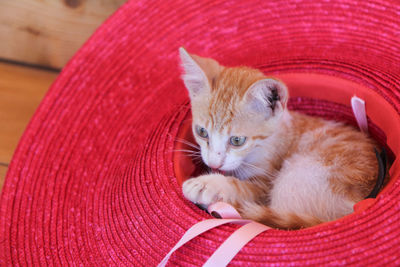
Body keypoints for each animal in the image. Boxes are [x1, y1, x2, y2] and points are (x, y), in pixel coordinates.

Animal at [180, 47, 380, 229]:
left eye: (237, 141)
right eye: (202, 132)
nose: (213, 164)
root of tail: (356, 204)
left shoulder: (264, 185)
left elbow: (241, 188)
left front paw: (206, 184)